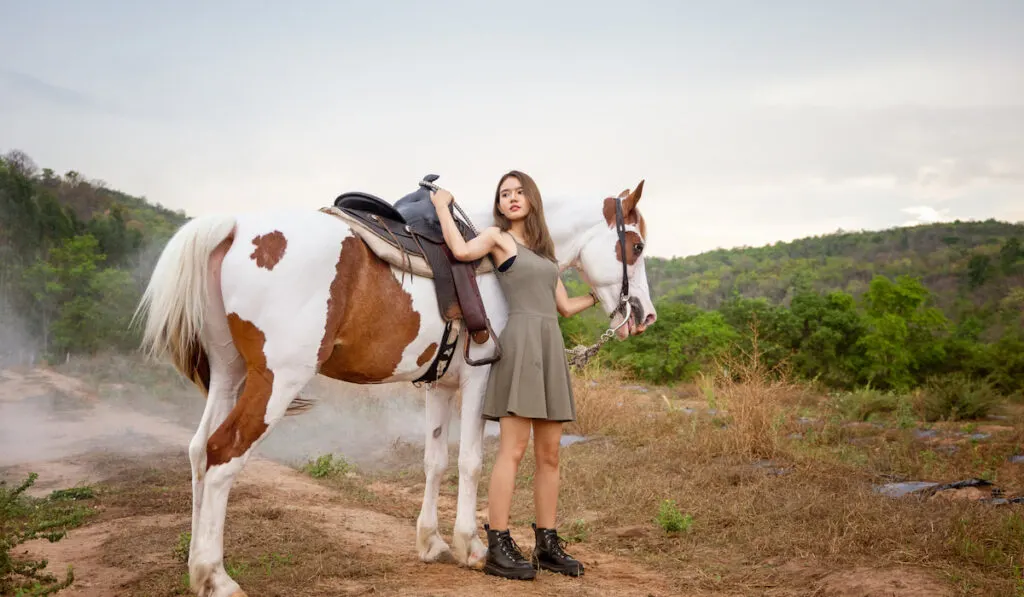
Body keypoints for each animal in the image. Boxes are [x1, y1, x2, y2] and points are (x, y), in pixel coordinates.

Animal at [136, 175, 655, 593]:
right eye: (636, 248)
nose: (645, 315)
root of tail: (235, 228)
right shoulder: (480, 378)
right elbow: (470, 462)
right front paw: (472, 547)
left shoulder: (439, 387)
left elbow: (434, 461)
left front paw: (432, 543)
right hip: (275, 382)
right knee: (223, 457)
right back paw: (216, 577)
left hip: (229, 374)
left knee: (199, 452)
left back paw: (195, 566)